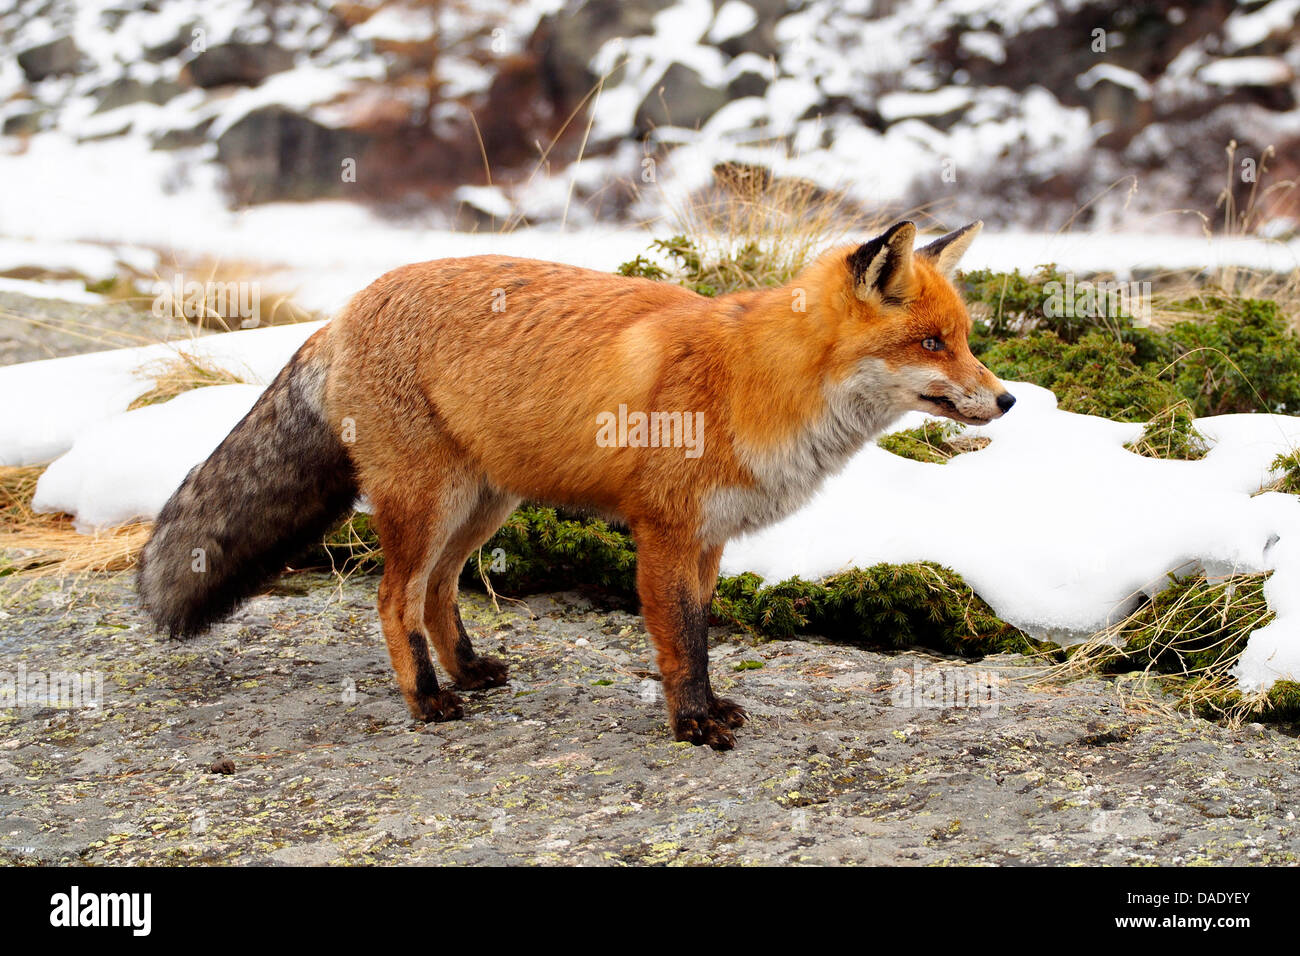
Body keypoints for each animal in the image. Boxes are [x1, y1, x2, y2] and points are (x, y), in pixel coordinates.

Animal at [138, 220, 1014, 750]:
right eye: (931, 343)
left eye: (966, 340)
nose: (1007, 400)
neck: (752, 382)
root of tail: (343, 311)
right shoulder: (664, 532)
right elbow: (681, 642)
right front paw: (693, 724)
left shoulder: (709, 538)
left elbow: (700, 634)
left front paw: (708, 708)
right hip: (429, 502)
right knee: (393, 599)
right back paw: (428, 699)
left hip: (484, 505)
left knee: (438, 591)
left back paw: (468, 670)